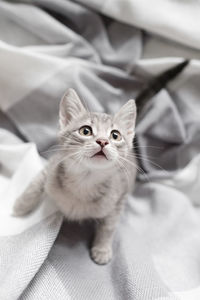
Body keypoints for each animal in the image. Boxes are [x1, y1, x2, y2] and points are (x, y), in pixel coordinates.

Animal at [13, 88, 137, 264]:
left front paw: (102, 249)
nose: (103, 141)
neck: (84, 181)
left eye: (115, 135)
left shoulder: (119, 198)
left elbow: (109, 226)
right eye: (85, 131)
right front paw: (21, 206)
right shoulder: (53, 165)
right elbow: (35, 185)